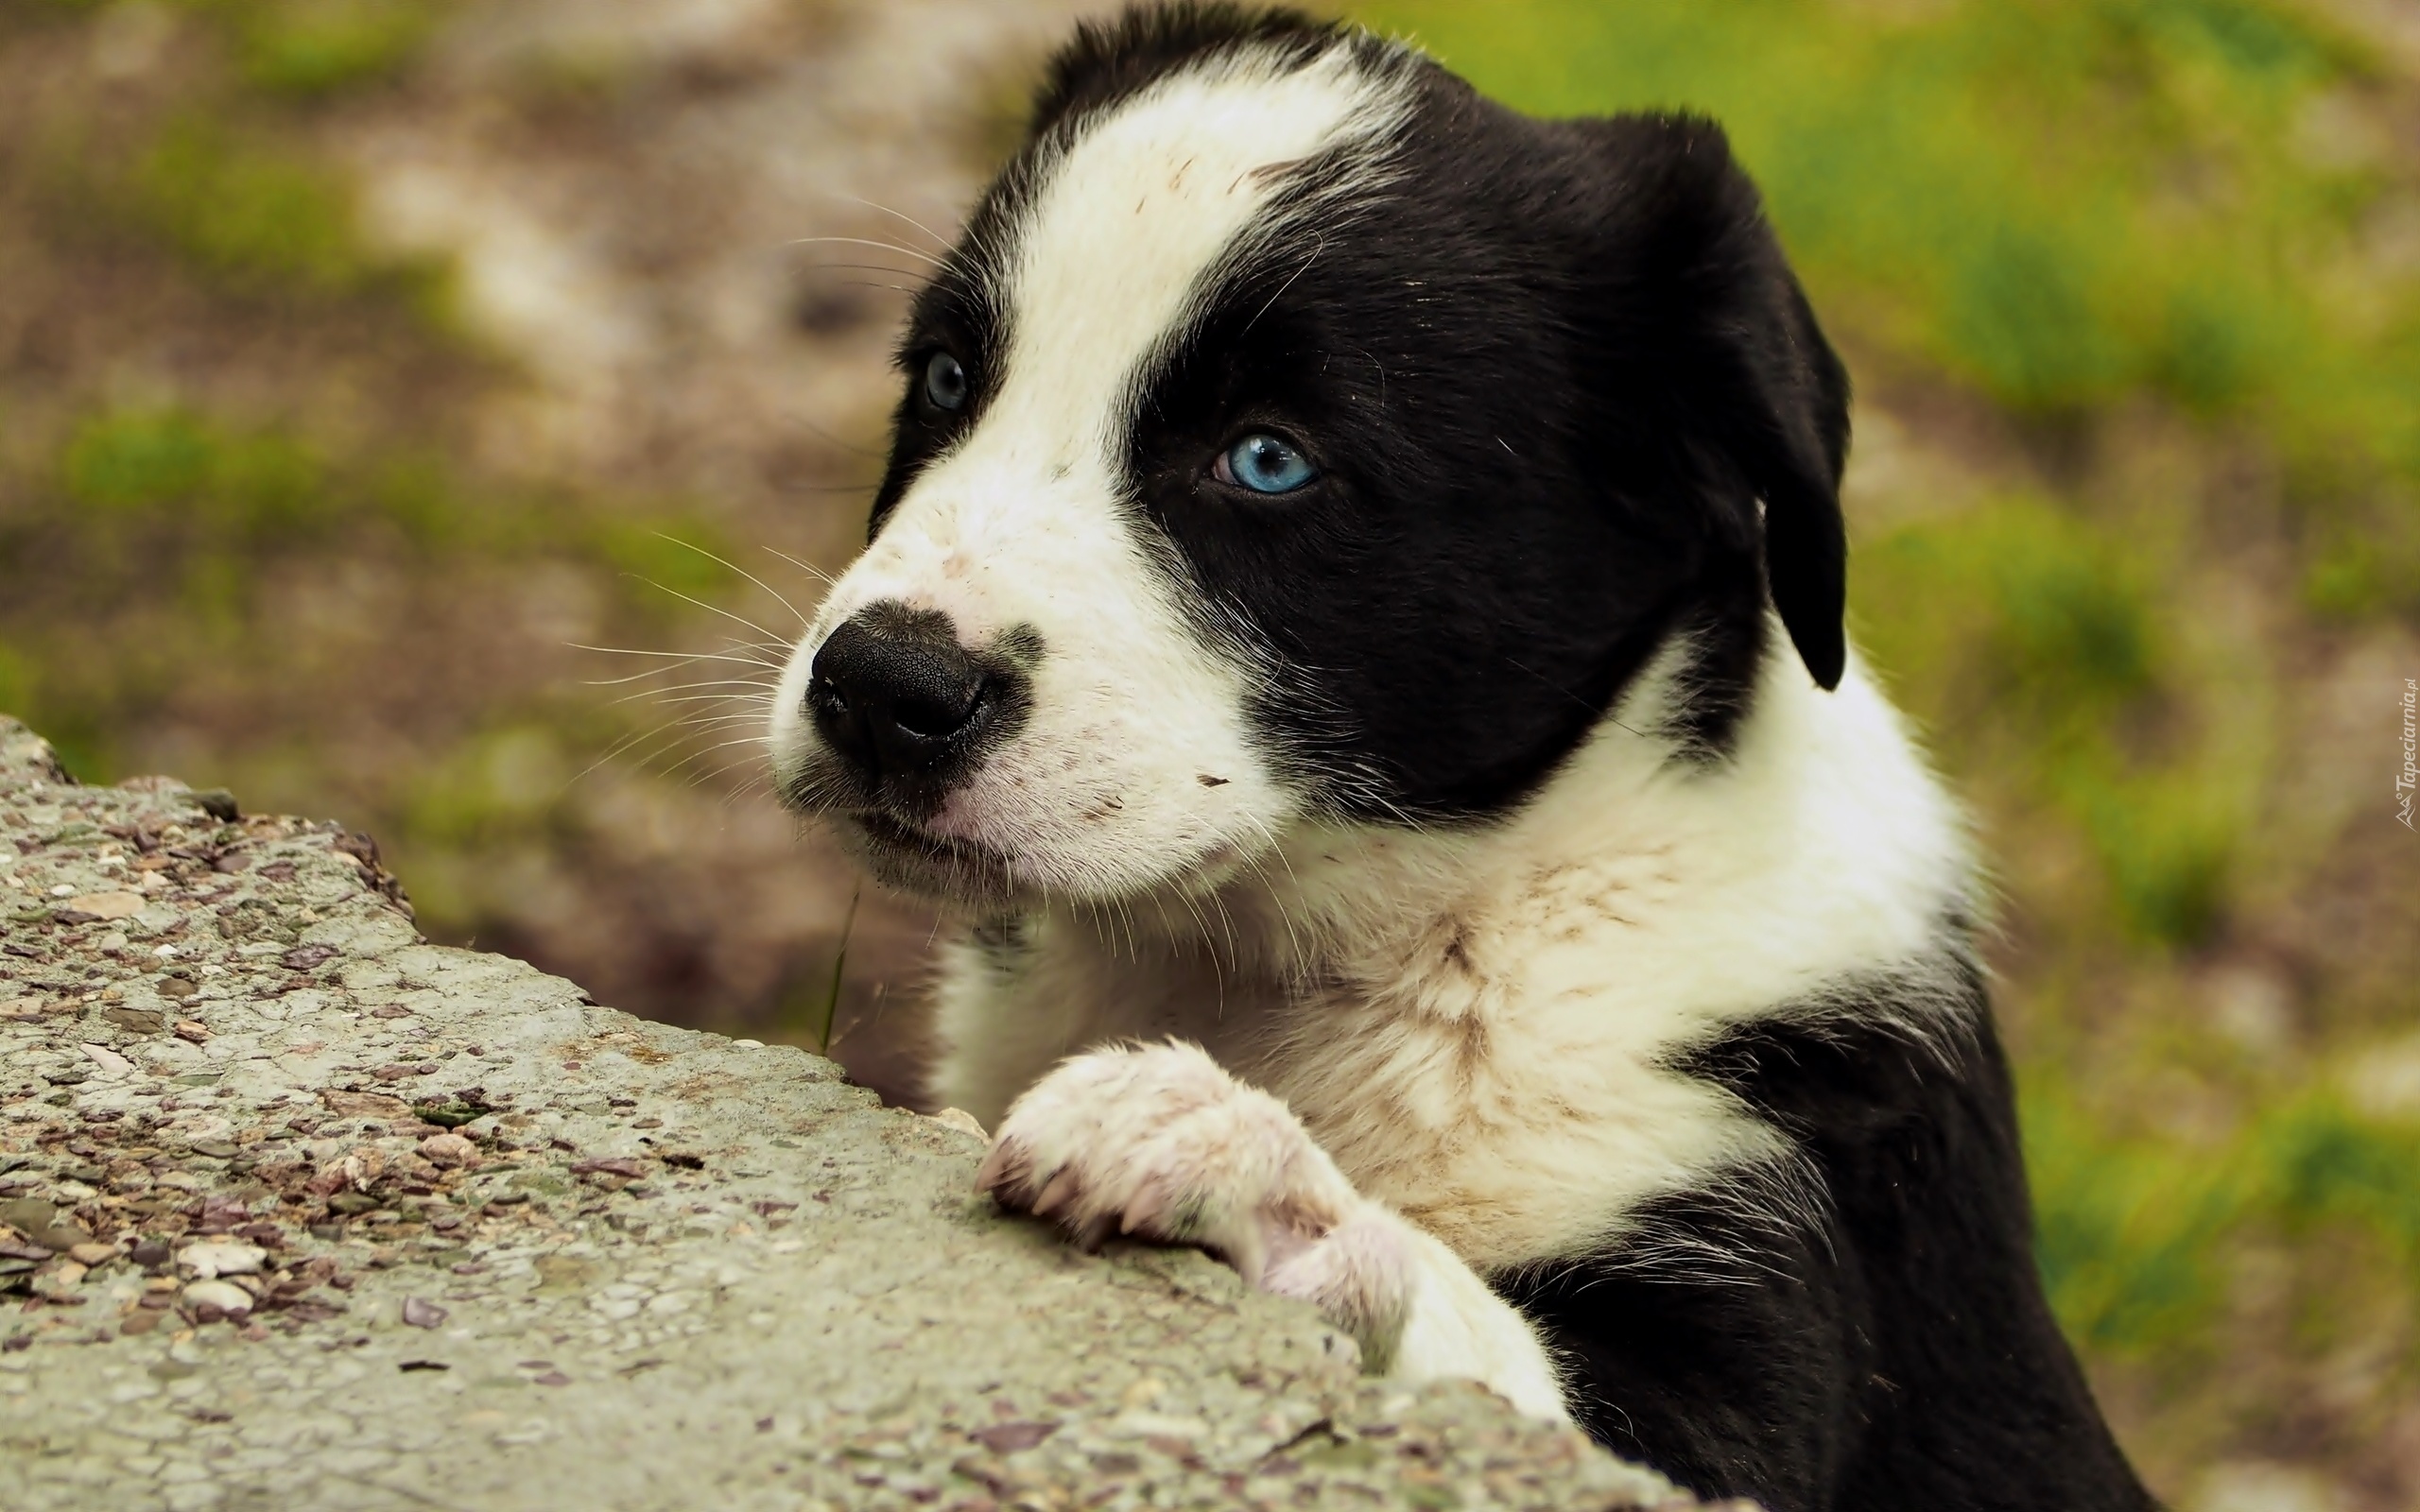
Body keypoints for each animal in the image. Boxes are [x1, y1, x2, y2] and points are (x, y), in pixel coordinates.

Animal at [764, 6, 2149, 1500]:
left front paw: (1241, 1165)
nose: (879, 689)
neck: (1453, 925)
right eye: (947, 378)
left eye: (1267, 460)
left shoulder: (1762, 1327)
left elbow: (1469, 1327)